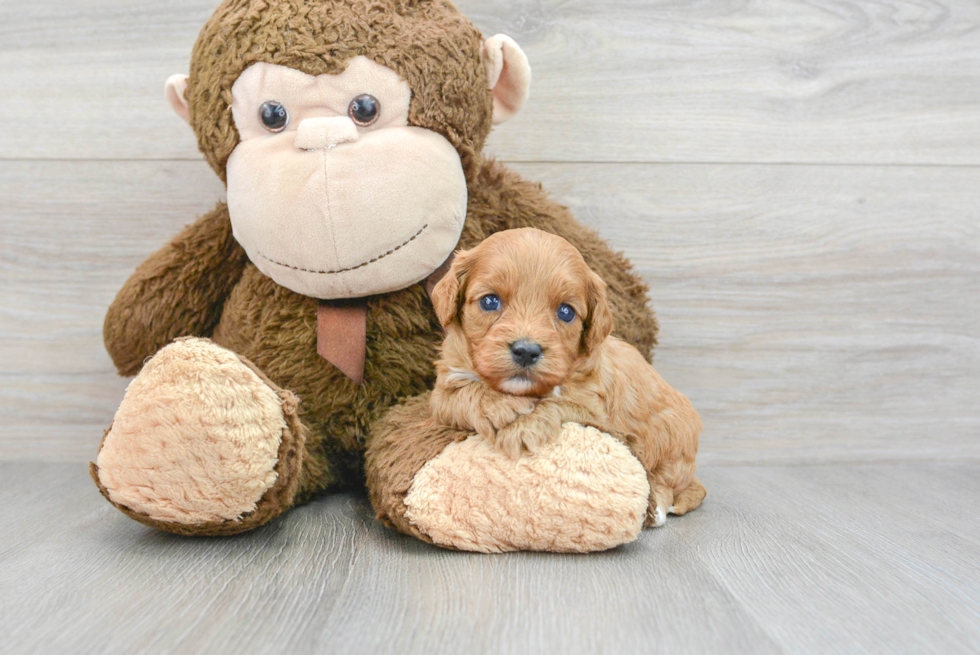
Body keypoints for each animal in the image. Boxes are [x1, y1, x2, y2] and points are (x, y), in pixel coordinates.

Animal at [428, 228, 704, 524]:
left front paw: (524, 428)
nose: (526, 351)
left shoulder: (596, 413)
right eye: (489, 301)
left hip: (672, 441)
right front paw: (498, 405)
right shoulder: (443, 390)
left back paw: (659, 506)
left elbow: (559, 403)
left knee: (674, 482)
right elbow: (461, 394)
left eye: (566, 311)